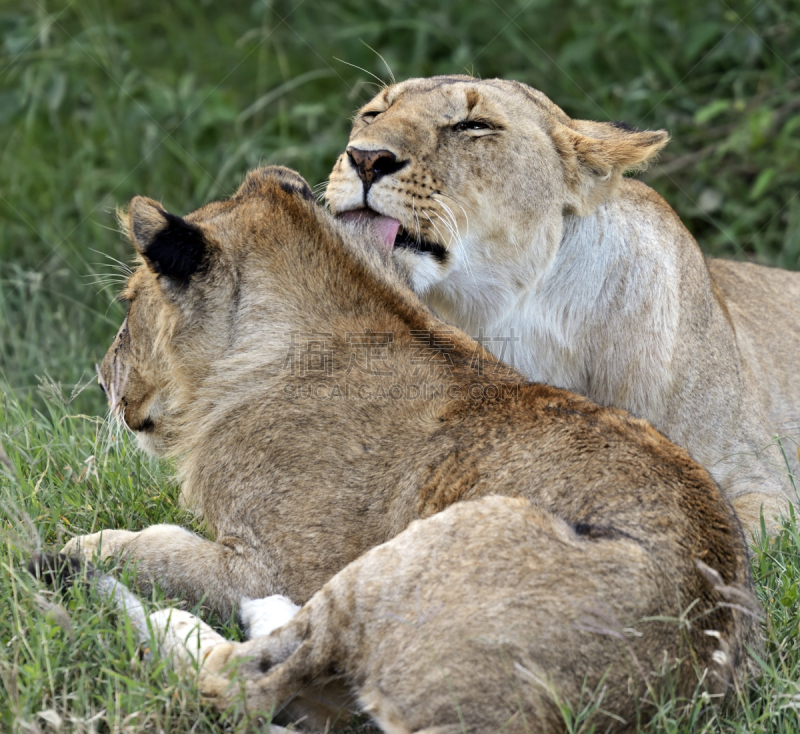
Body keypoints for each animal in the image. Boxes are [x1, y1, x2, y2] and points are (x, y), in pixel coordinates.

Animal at [57, 168, 764, 734]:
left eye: (128, 305)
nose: (100, 376)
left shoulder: (268, 565)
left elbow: (157, 547)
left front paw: (83, 546)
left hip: (452, 535)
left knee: (242, 679)